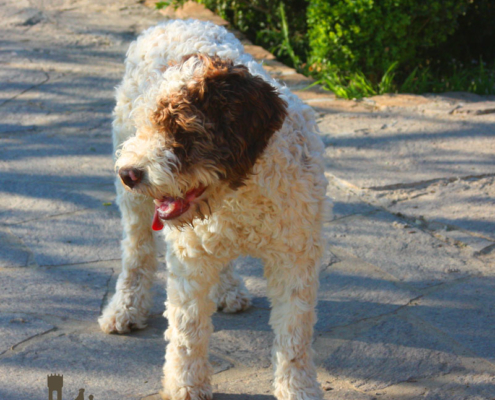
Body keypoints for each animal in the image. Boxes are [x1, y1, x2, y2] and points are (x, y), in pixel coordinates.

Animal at [98, 18, 332, 400]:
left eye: (180, 128)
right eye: (147, 124)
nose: (129, 173)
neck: (240, 193)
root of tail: (174, 20)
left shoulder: (295, 257)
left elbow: (294, 334)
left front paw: (298, 388)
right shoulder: (188, 259)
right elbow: (187, 330)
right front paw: (185, 385)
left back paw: (227, 289)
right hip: (133, 201)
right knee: (136, 253)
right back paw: (125, 308)